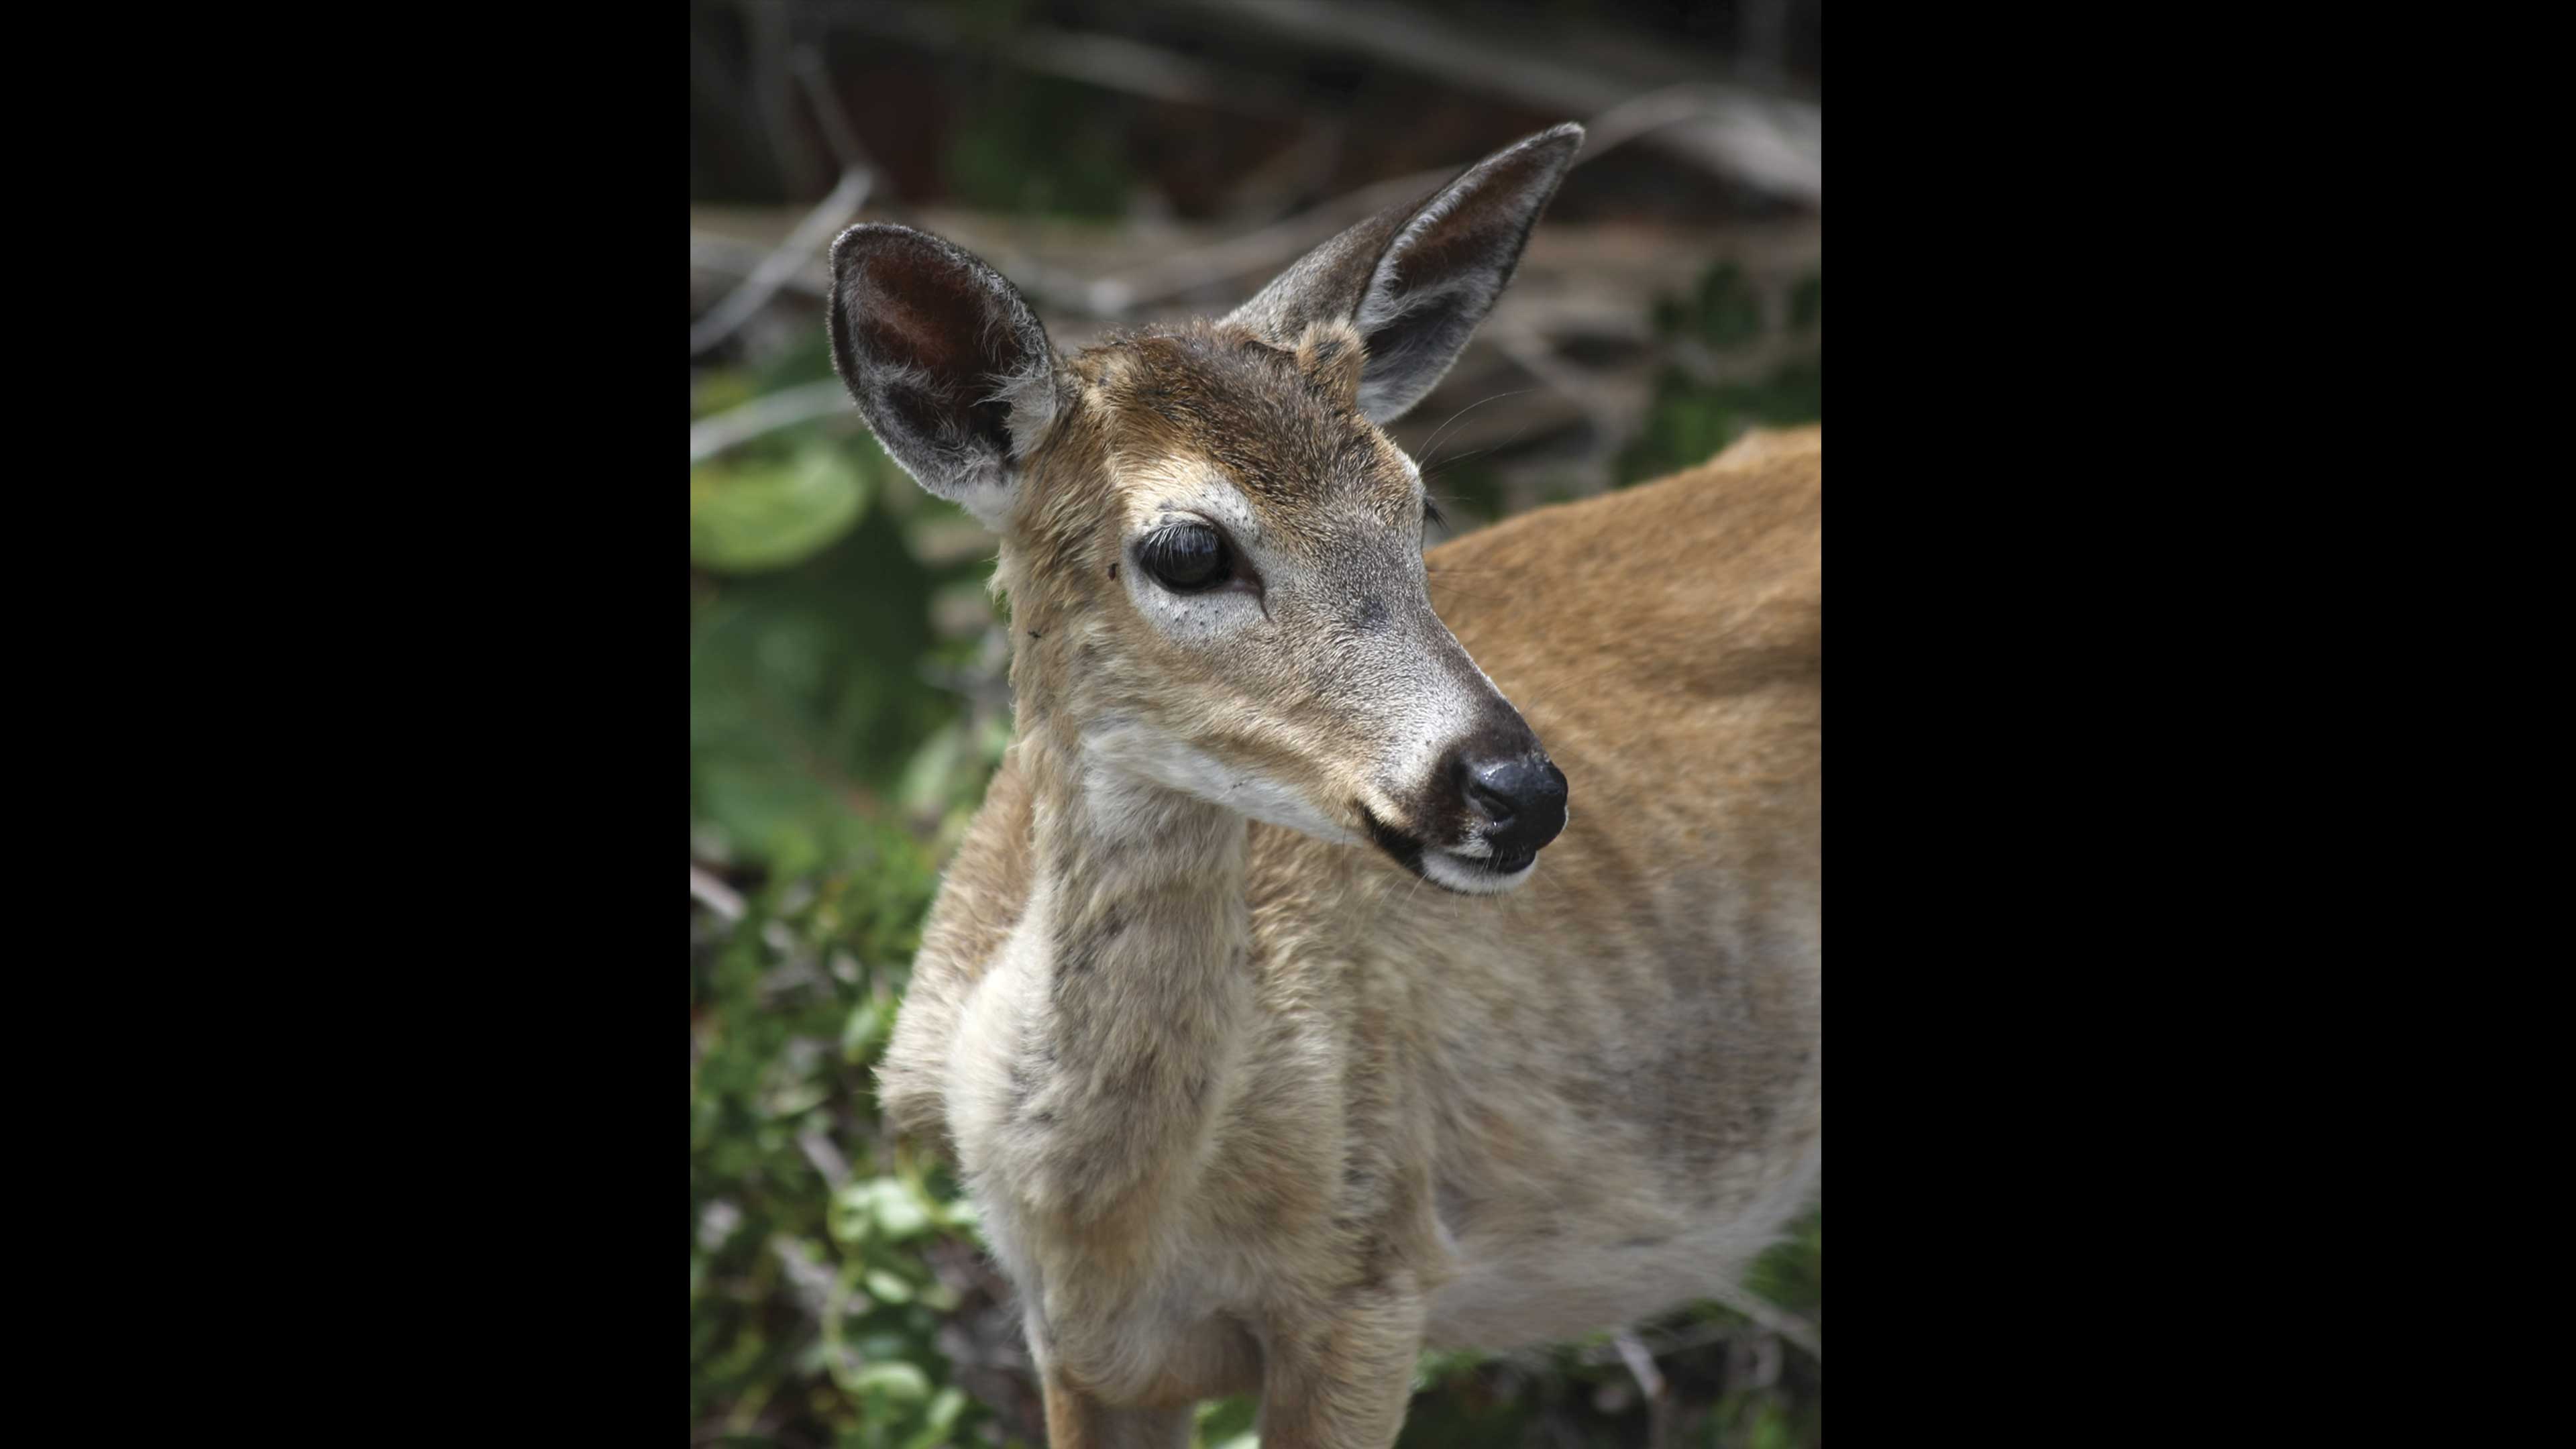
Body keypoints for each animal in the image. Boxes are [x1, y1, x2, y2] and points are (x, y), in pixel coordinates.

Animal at [835, 127, 1823, 1444]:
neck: (1113, 1210)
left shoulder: (1371, 1279)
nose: (1518, 788)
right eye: (1188, 549)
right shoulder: (1075, 1342)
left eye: (1420, 503)